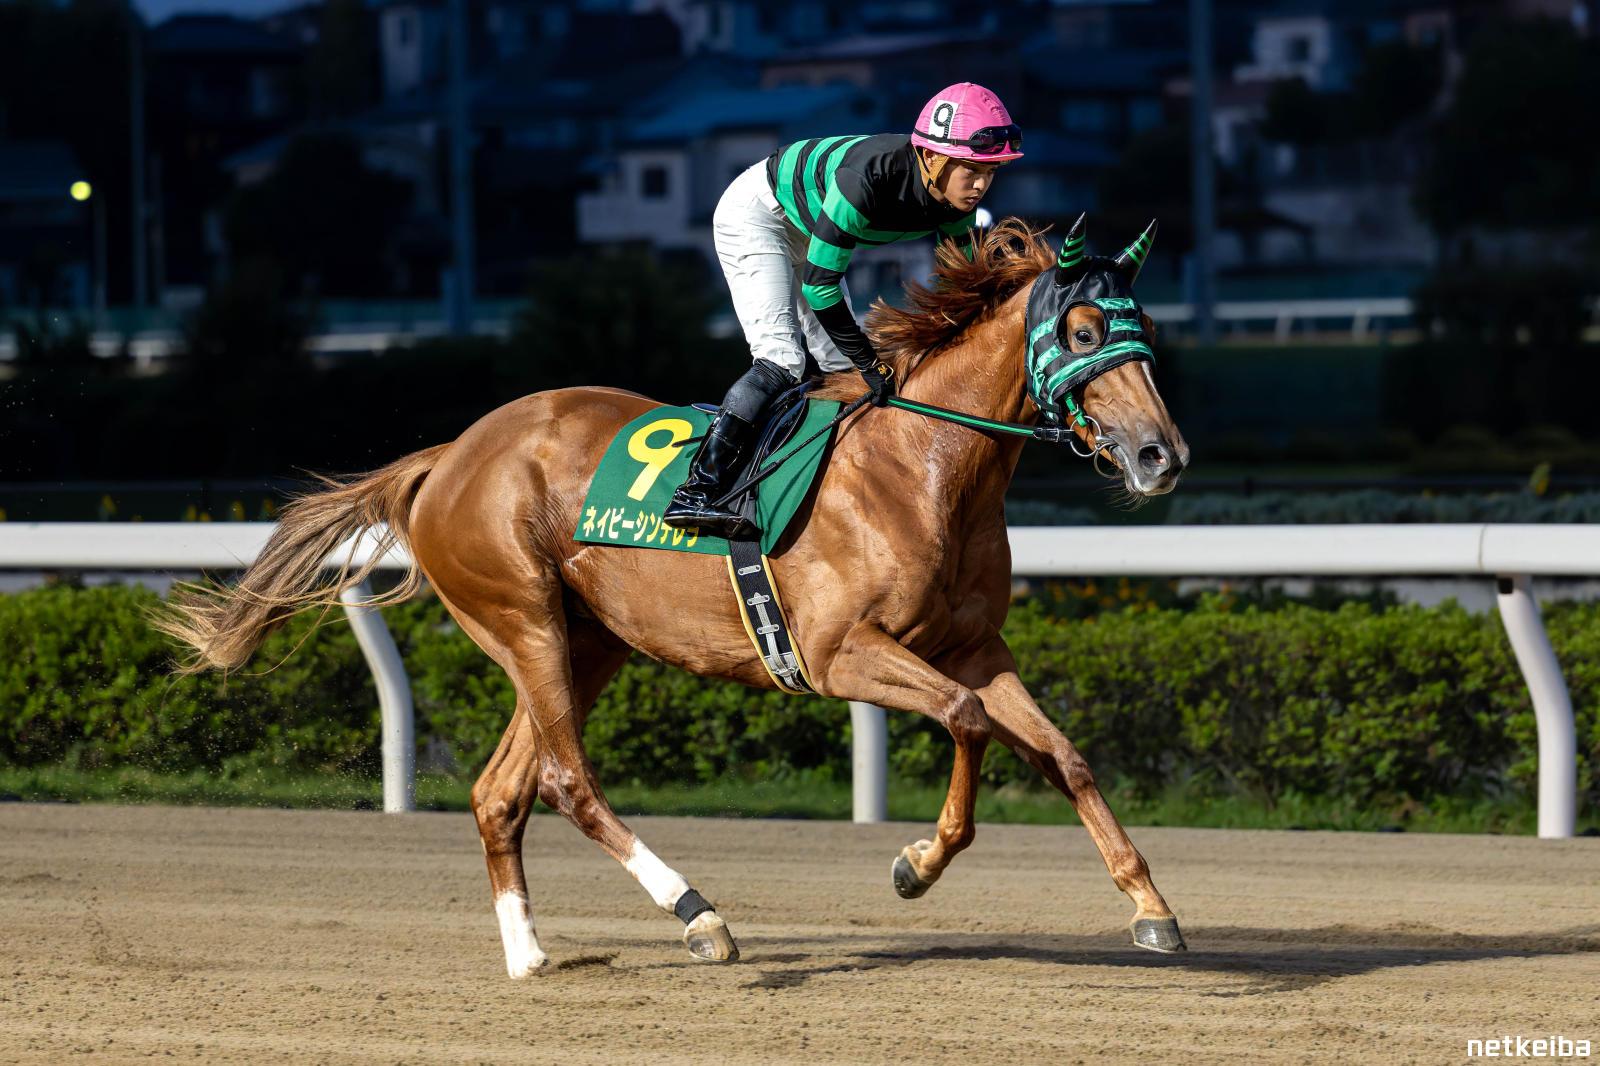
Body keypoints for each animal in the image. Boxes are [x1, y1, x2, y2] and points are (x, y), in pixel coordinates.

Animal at [157, 215, 1191, 977]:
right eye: (1085, 333)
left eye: (1144, 334)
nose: (1161, 455)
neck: (924, 465)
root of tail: (447, 456)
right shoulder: (839, 653)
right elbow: (968, 721)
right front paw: (915, 865)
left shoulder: (974, 645)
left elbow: (1065, 756)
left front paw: (1152, 906)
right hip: (523, 619)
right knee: (566, 781)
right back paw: (698, 915)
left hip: (588, 641)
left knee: (502, 790)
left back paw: (530, 955)